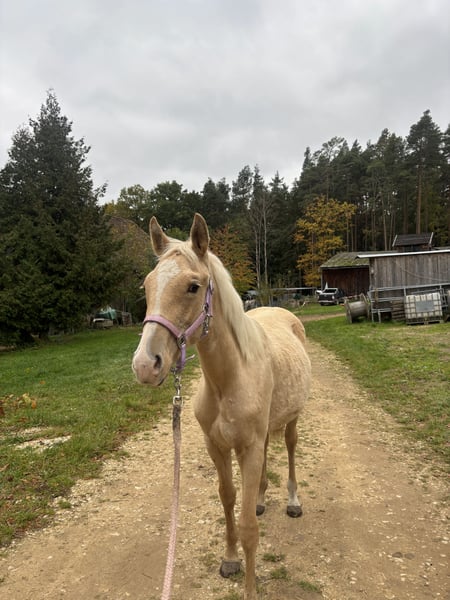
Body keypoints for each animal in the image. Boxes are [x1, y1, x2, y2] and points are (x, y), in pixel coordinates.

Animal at [132, 214, 311, 600]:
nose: (145, 365)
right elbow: (228, 500)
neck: (228, 379)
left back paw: (293, 501)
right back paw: (261, 498)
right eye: (147, 286)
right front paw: (229, 560)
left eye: (193, 286)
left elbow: (248, 528)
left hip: (292, 420)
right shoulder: (217, 447)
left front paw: (250, 589)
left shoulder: (247, 449)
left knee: (290, 449)